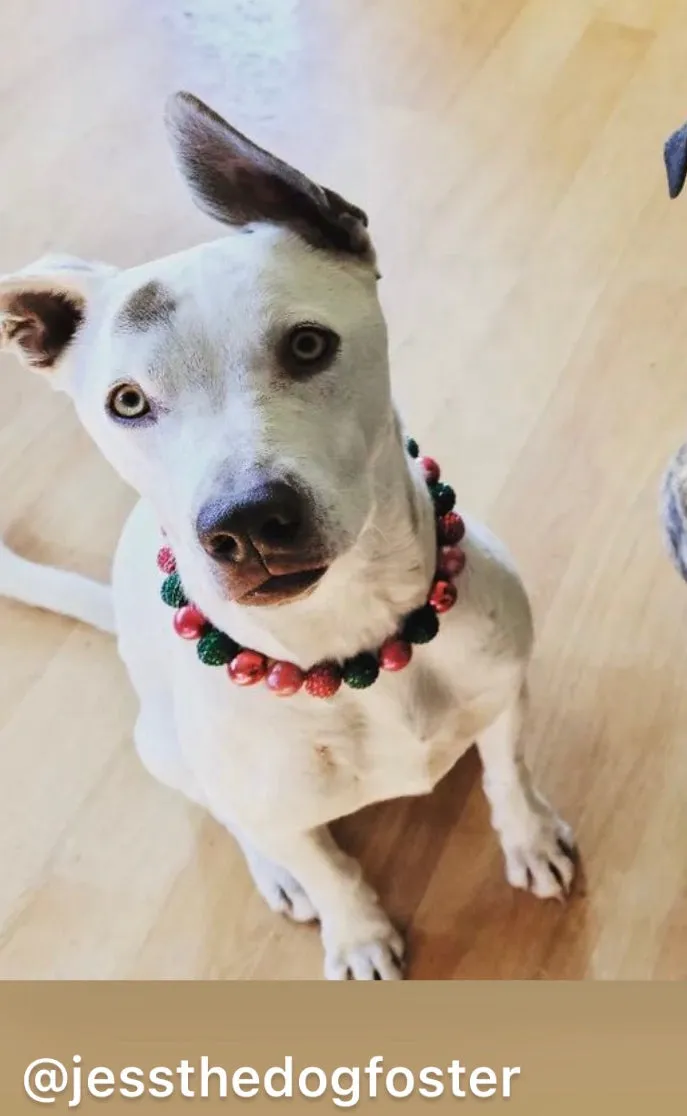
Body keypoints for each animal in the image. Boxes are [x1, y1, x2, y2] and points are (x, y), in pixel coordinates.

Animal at [0, 93, 575, 977]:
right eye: (127, 401)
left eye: (307, 344)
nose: (245, 523)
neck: (349, 636)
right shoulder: (274, 801)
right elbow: (325, 863)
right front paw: (357, 932)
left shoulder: (503, 690)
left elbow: (506, 770)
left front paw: (529, 836)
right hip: (166, 747)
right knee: (240, 821)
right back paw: (278, 874)